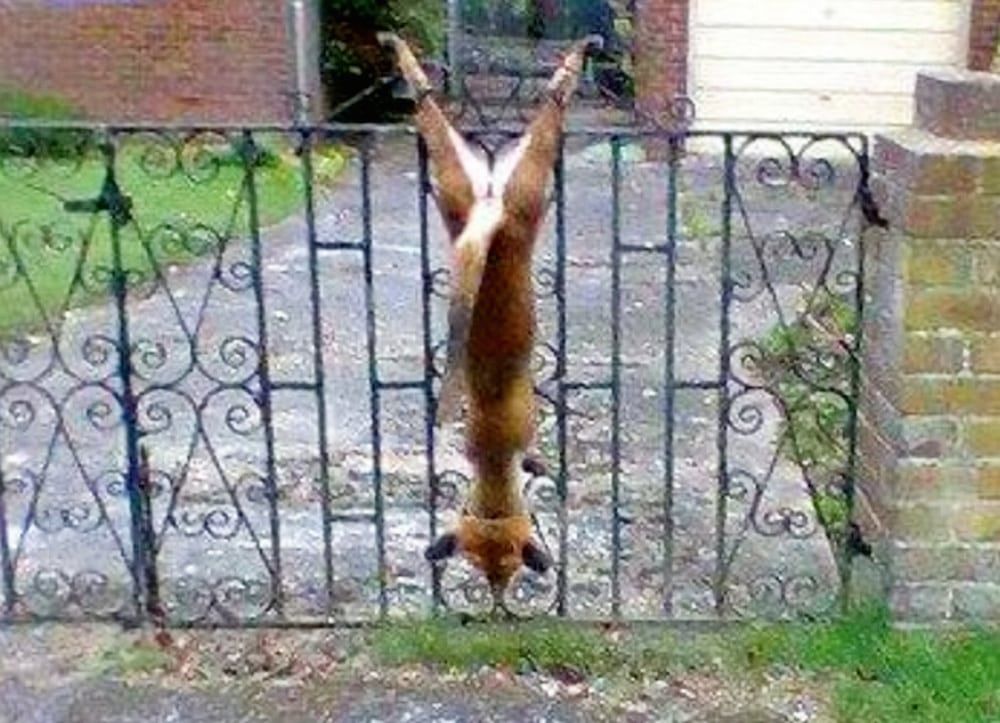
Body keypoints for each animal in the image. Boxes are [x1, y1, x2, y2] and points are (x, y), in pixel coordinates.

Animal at [378, 31, 600, 612]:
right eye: (485, 572)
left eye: (506, 573)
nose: (498, 606)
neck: (496, 458)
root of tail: (492, 216)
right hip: (524, 185)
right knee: (547, 107)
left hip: (459, 188)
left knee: (432, 112)